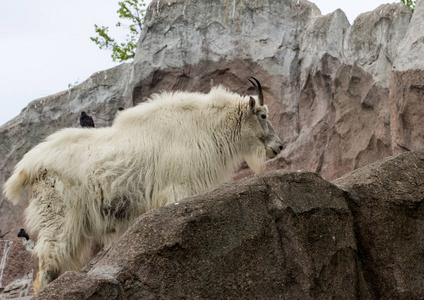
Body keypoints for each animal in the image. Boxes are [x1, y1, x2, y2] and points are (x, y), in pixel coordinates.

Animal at [3, 78, 284, 292]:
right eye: (263, 115)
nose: (279, 147)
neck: (204, 125)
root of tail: (28, 166)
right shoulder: (178, 188)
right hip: (59, 214)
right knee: (47, 265)